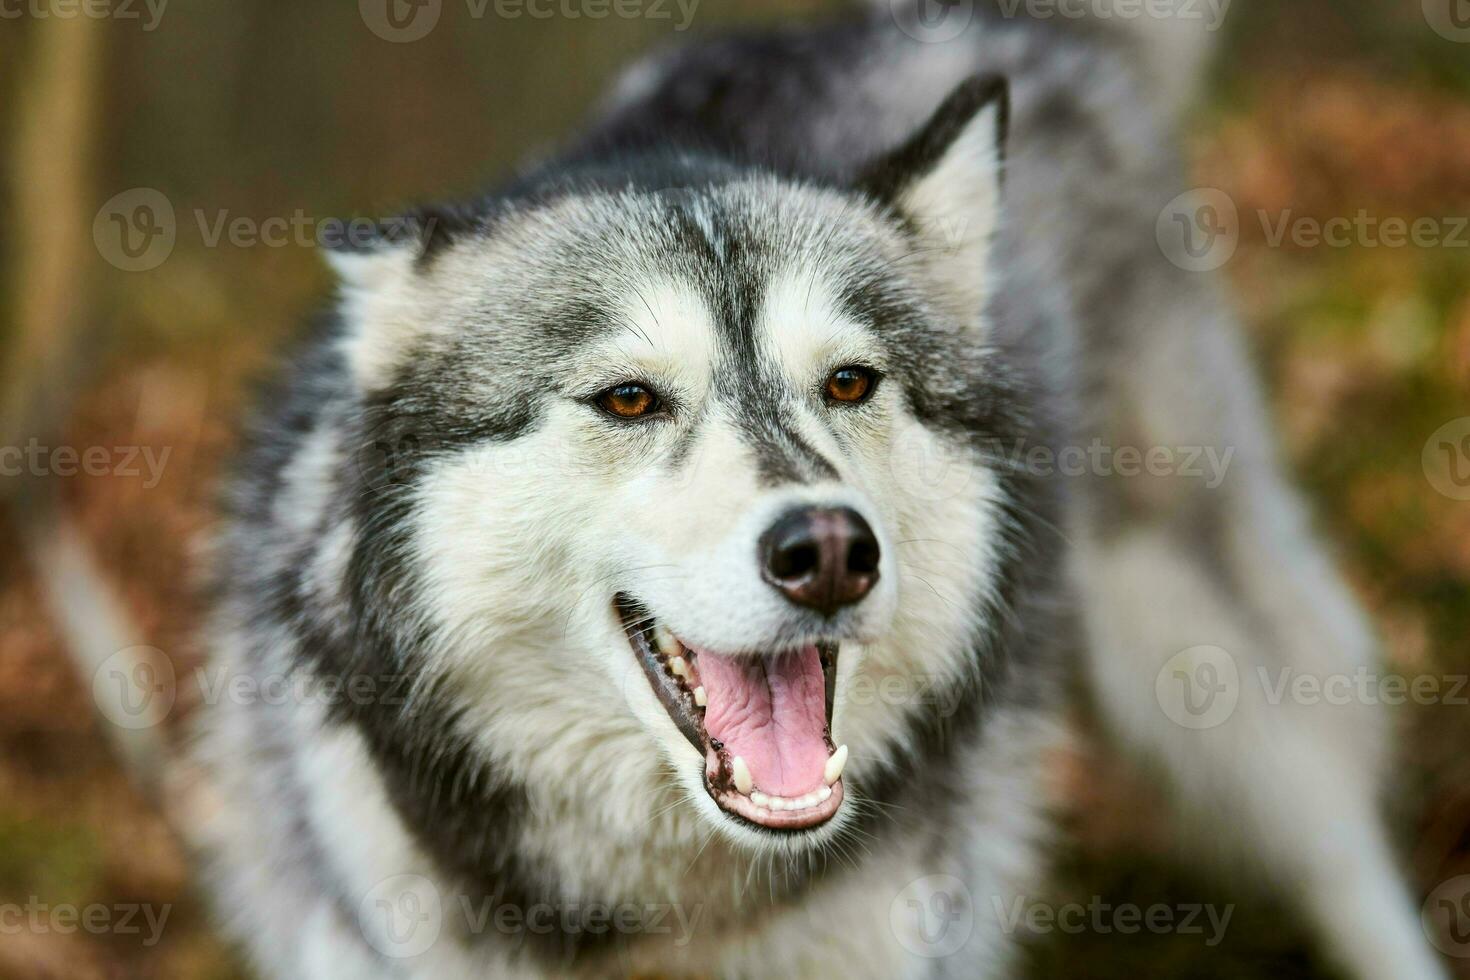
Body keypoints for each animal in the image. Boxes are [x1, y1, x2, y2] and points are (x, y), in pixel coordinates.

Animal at [195, 3, 1446, 975]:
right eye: (630, 399)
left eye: (848, 381)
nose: (831, 550)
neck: (677, 916)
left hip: (1202, 658)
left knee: (1340, 843)